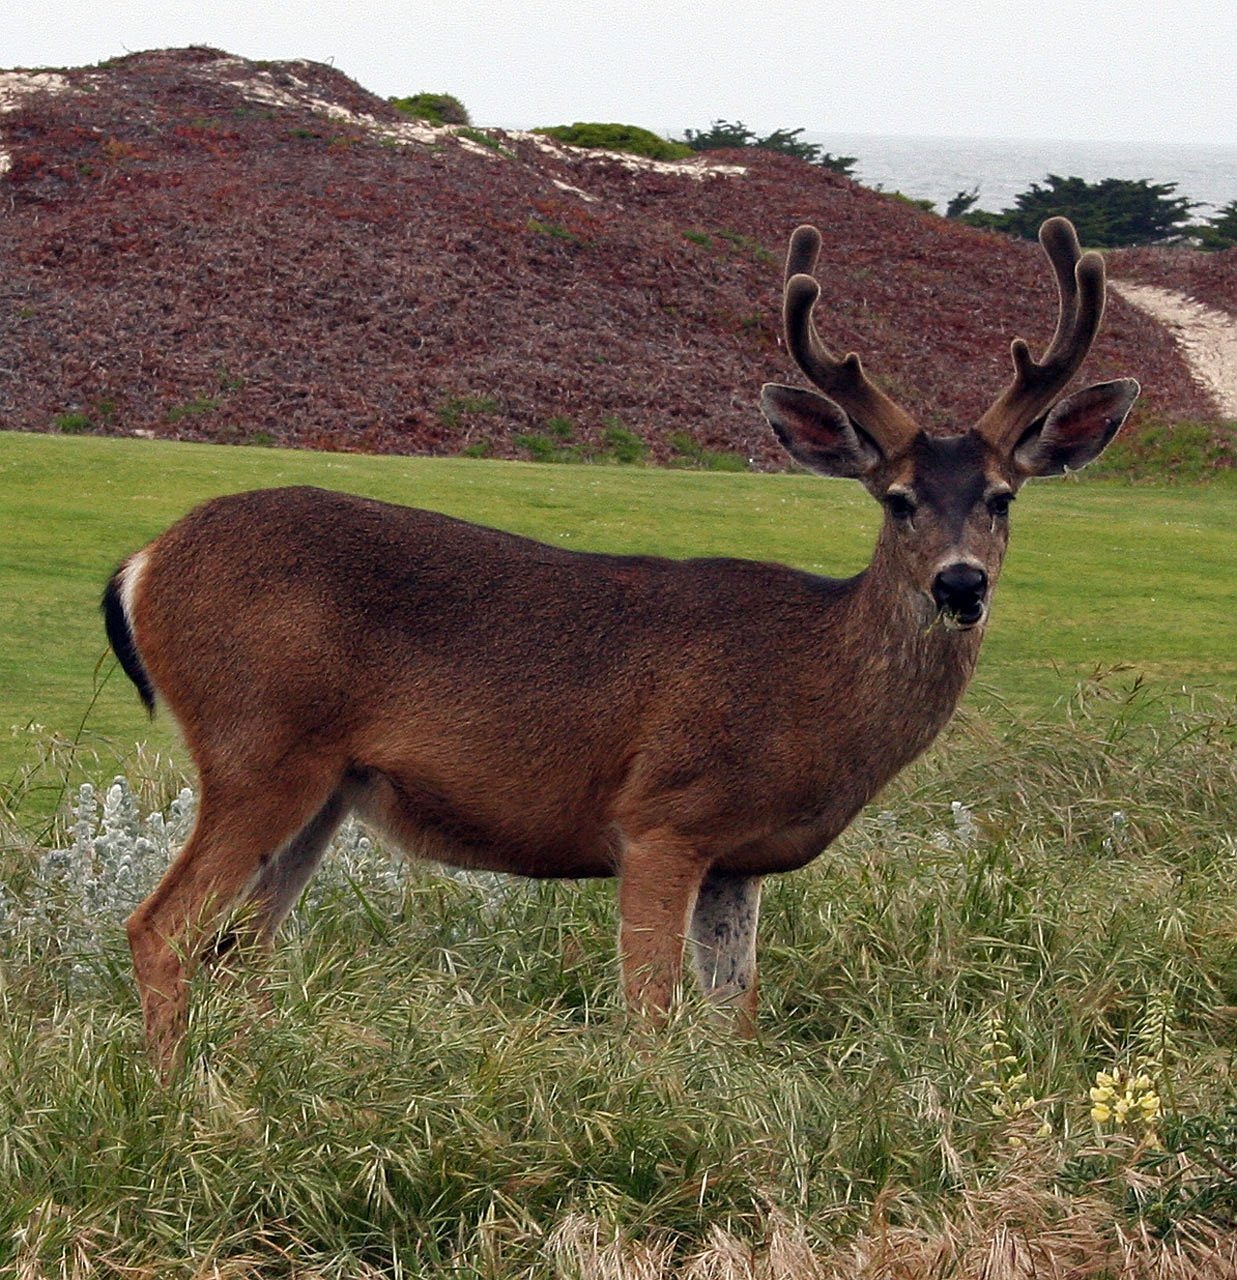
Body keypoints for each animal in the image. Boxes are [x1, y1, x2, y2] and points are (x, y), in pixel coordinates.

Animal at [106, 217, 1142, 1070]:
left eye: (1001, 497)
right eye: (896, 500)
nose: (960, 585)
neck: (813, 694)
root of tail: (142, 564)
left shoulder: (737, 859)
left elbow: (735, 1017)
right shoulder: (661, 816)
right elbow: (648, 1013)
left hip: (325, 787)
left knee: (240, 948)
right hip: (257, 742)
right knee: (159, 930)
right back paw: (175, 1105)